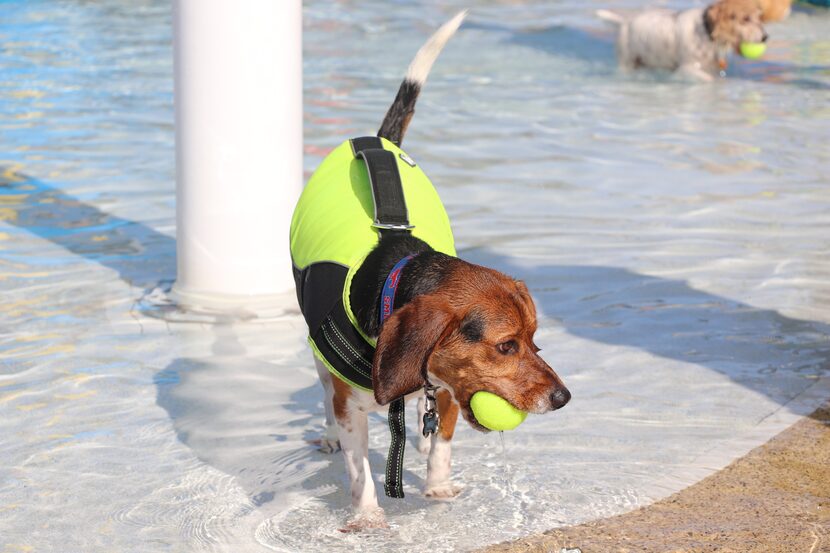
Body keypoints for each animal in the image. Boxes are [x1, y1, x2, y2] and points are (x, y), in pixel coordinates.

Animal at [290, 11, 572, 532]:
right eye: (507, 345)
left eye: (535, 340)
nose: (563, 398)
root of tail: (376, 142)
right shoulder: (351, 406)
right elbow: (359, 469)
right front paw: (366, 515)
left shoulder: (445, 391)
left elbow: (441, 443)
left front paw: (438, 488)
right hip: (317, 355)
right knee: (324, 395)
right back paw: (330, 436)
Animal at [600, 0, 772, 81]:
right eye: (745, 19)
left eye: (759, 17)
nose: (765, 37)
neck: (706, 31)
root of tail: (624, 21)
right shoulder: (688, 68)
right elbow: (708, 79)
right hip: (626, 62)